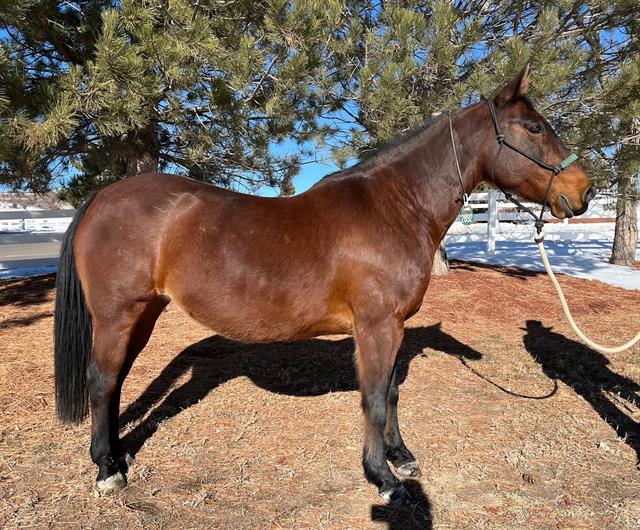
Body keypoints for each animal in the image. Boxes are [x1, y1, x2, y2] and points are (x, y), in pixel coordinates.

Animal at [55, 67, 596, 504]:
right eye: (534, 127)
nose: (584, 191)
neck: (394, 206)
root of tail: (101, 198)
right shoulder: (376, 326)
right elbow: (373, 399)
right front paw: (384, 479)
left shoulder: (394, 327)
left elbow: (391, 392)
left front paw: (401, 457)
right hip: (119, 313)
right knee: (101, 380)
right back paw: (107, 471)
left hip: (144, 313)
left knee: (116, 381)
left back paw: (117, 456)